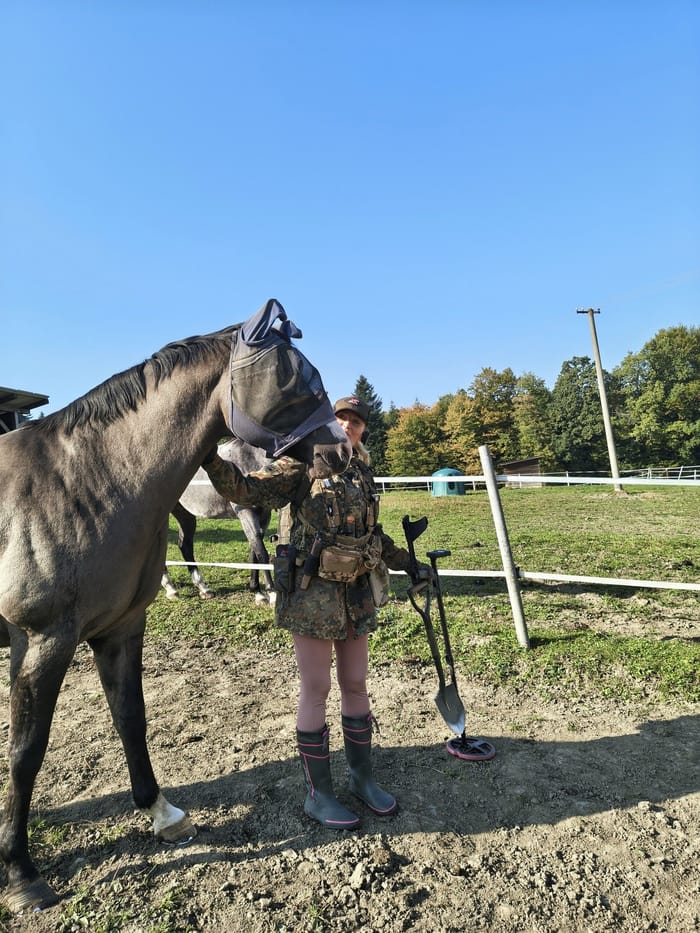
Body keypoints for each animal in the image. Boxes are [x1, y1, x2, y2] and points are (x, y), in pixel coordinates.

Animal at [161, 437, 276, 604]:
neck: (251, 459)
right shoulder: (246, 513)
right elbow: (262, 554)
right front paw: (272, 595)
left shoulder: (264, 516)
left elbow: (254, 552)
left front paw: (258, 593)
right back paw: (170, 588)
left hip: (185, 514)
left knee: (185, 545)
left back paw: (203, 588)